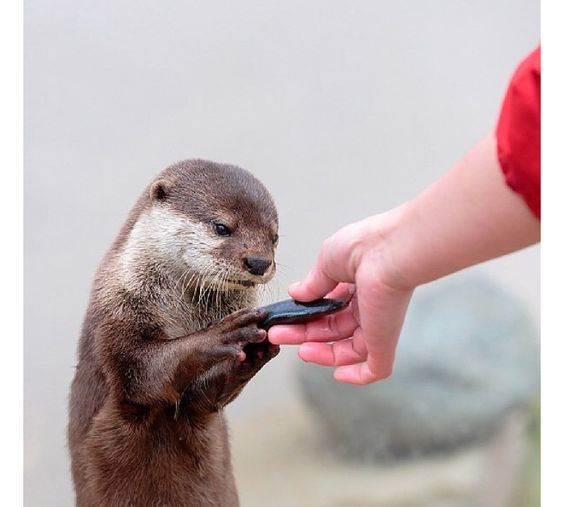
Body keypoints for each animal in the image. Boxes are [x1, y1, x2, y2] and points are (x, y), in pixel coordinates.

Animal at [69, 161, 280, 507]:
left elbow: (205, 396)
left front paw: (252, 356)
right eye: (222, 227)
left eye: (274, 237)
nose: (259, 261)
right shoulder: (118, 313)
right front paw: (224, 333)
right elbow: (141, 373)